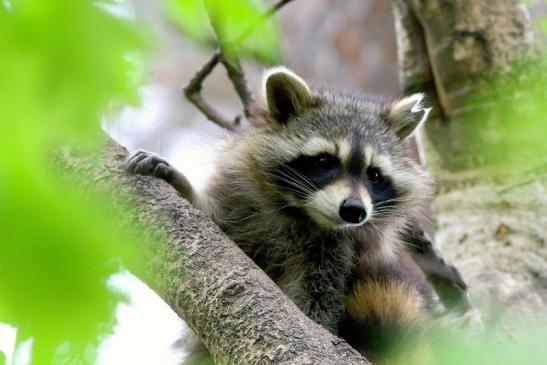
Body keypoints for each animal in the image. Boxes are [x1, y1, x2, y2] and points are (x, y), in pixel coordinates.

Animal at [127, 67, 436, 360]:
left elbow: (319, 308)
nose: (354, 211)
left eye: (374, 175)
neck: (300, 214)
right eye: (324, 161)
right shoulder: (240, 204)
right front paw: (185, 188)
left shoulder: (338, 256)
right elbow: (214, 222)